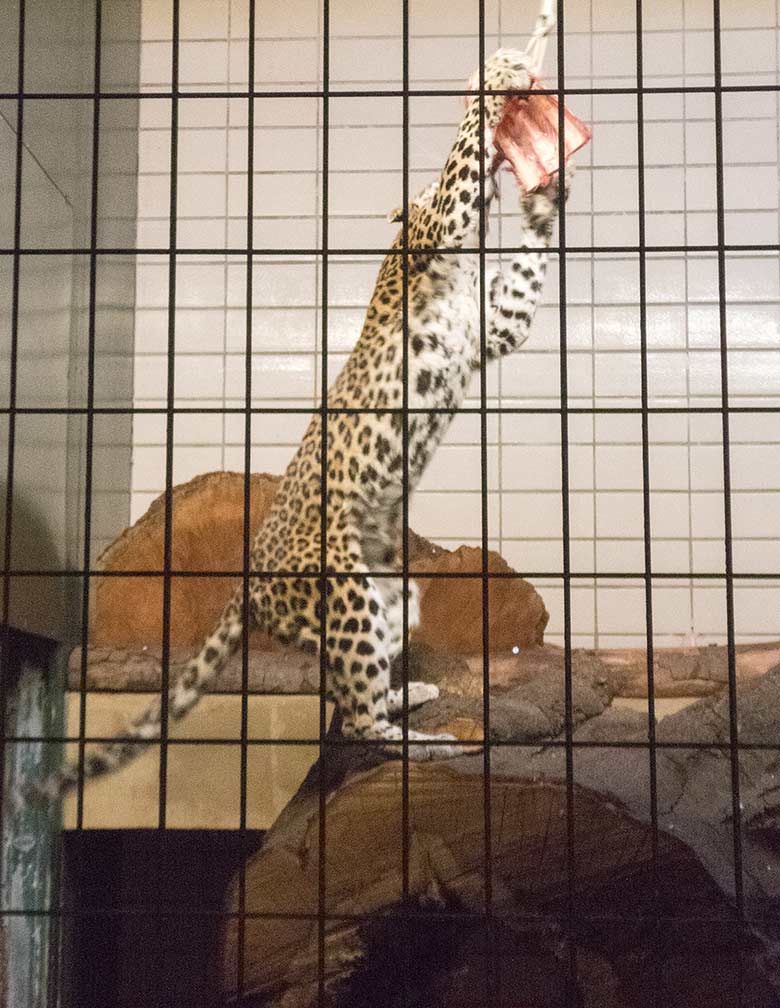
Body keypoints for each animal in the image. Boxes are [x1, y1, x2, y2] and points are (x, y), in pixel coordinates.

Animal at [28, 49, 572, 802]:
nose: (511, 175)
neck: (452, 262)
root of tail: (250, 583)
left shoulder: (497, 323)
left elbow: (523, 268)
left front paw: (545, 196)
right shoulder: (445, 230)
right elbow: (460, 163)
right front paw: (495, 83)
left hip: (392, 595)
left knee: (350, 695)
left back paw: (410, 697)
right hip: (347, 596)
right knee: (359, 720)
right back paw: (429, 741)